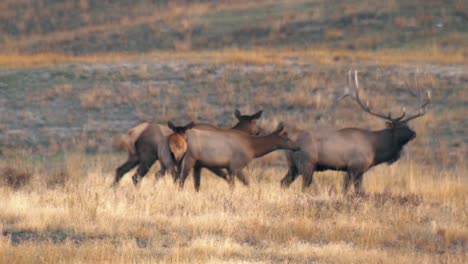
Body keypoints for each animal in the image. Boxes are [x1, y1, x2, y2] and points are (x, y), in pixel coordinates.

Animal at [113, 109, 264, 186]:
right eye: (255, 123)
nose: (259, 132)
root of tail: (133, 132)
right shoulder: (208, 163)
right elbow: (225, 176)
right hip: (147, 158)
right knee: (136, 176)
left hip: (135, 156)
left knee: (120, 170)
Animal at [280, 71, 430, 193]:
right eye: (399, 127)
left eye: (408, 125)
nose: (414, 134)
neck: (375, 148)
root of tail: (288, 146)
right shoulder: (354, 167)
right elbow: (346, 190)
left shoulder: (360, 171)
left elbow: (359, 191)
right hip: (307, 164)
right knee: (303, 186)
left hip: (293, 166)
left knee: (283, 182)